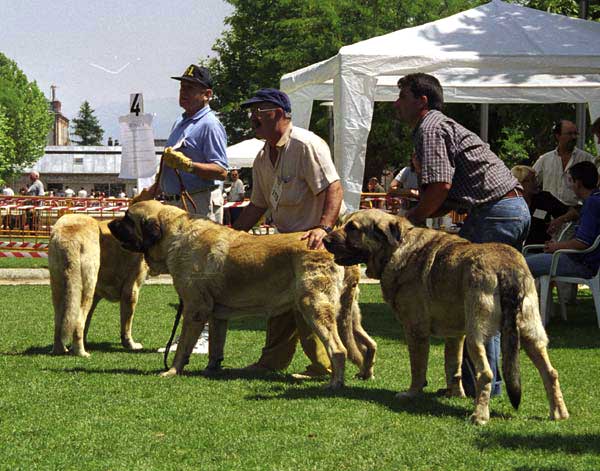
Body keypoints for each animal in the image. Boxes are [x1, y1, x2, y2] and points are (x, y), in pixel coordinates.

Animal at [49, 215, 148, 358]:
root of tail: (70, 236)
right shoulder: (131, 291)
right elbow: (126, 324)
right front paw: (131, 345)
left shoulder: (96, 295)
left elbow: (87, 322)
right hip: (86, 289)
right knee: (78, 322)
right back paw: (82, 353)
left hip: (59, 288)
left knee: (59, 322)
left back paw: (60, 350)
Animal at [108, 201, 376, 390]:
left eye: (127, 219)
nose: (110, 224)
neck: (175, 235)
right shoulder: (217, 315)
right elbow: (216, 345)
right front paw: (212, 369)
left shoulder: (195, 310)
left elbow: (183, 345)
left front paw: (173, 371)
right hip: (348, 314)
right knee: (369, 344)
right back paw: (365, 373)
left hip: (314, 306)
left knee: (338, 349)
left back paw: (335, 383)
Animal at [326, 209, 568, 424]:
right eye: (341, 223)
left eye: (352, 228)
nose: (326, 239)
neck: (396, 248)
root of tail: (506, 268)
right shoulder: (455, 336)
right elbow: (453, 366)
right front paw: (455, 393)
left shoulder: (415, 330)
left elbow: (418, 366)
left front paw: (412, 393)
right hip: (529, 332)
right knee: (551, 372)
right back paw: (559, 413)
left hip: (476, 336)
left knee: (486, 373)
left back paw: (480, 416)